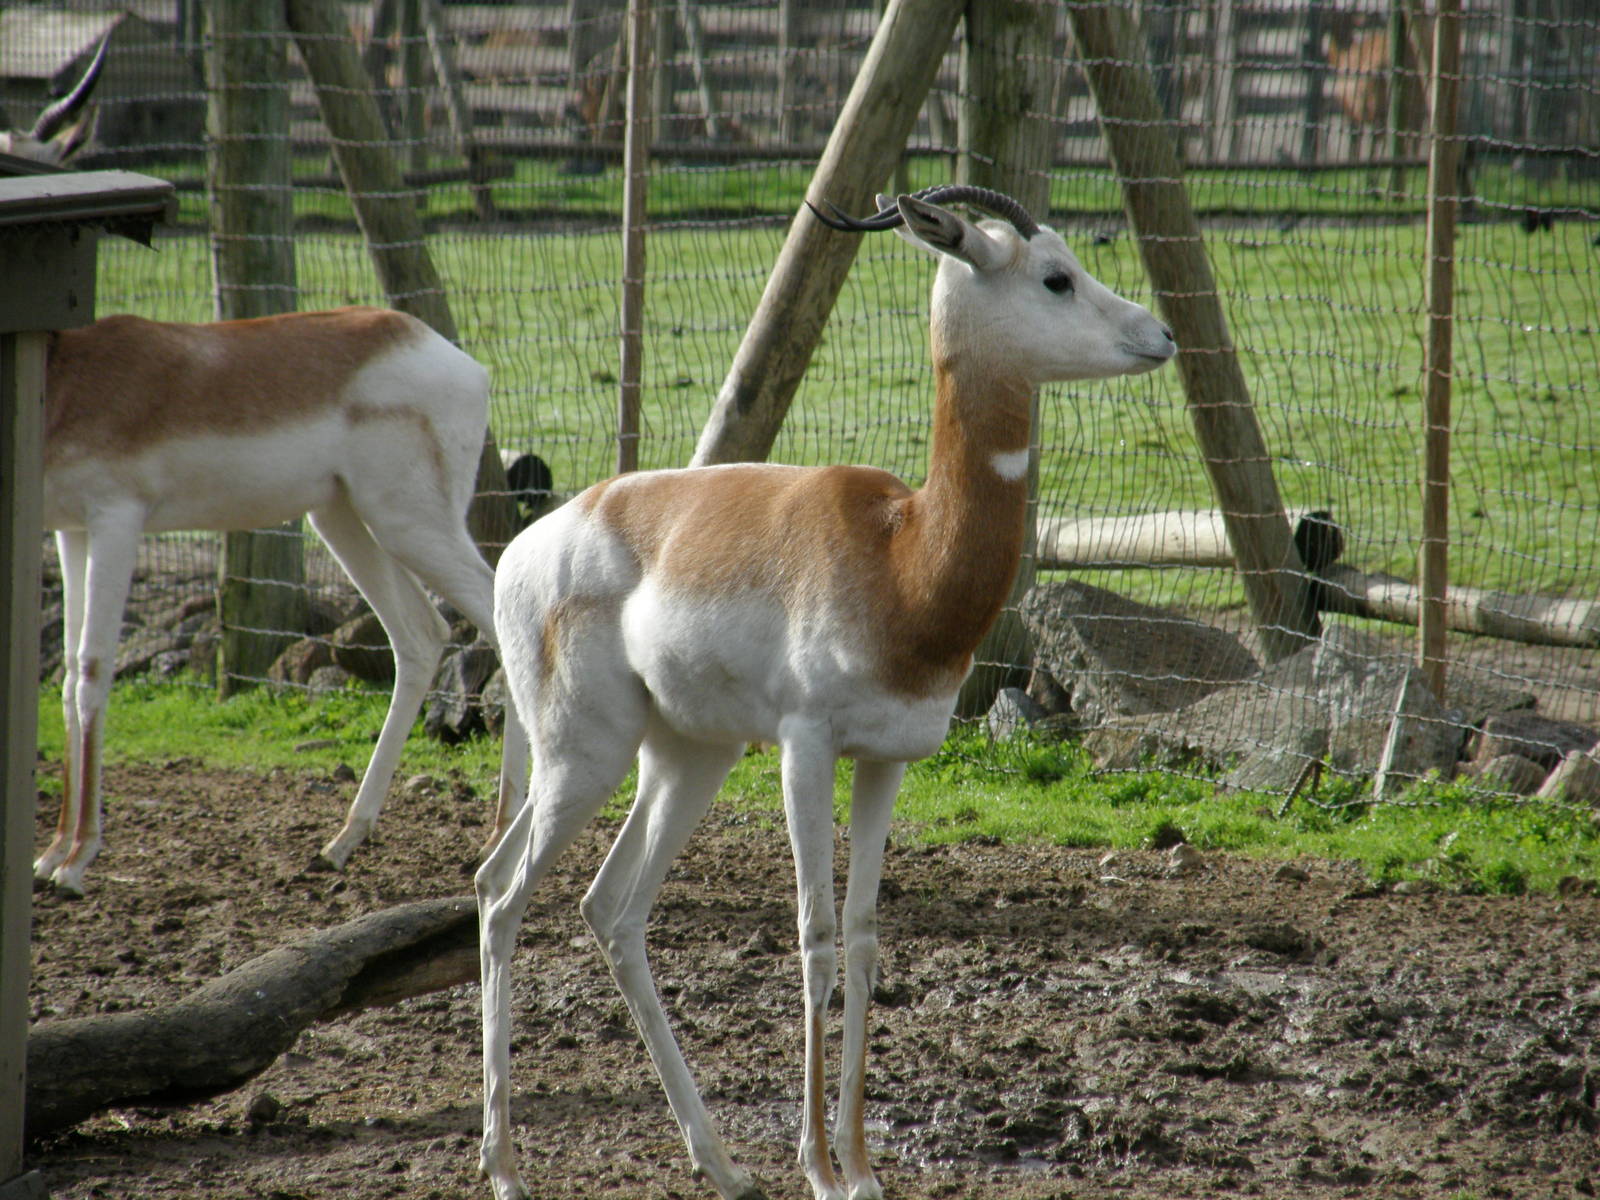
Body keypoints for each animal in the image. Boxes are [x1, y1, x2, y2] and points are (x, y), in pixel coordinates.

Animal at [37, 307, 529, 896]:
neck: (70, 374)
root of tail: (453, 358)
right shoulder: (71, 529)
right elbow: (68, 676)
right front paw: (51, 853)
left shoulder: (115, 517)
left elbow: (92, 671)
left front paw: (76, 861)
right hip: (342, 516)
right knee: (420, 634)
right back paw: (343, 841)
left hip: (407, 522)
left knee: (491, 622)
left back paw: (499, 835)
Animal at [476, 186, 1175, 1200]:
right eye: (1055, 277)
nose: (1159, 333)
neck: (902, 556)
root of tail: (525, 547)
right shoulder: (805, 749)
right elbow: (811, 935)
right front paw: (818, 1166)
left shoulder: (887, 761)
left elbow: (865, 933)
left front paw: (863, 1166)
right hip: (585, 758)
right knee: (502, 899)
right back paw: (505, 1168)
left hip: (685, 757)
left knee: (607, 909)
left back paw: (721, 1165)